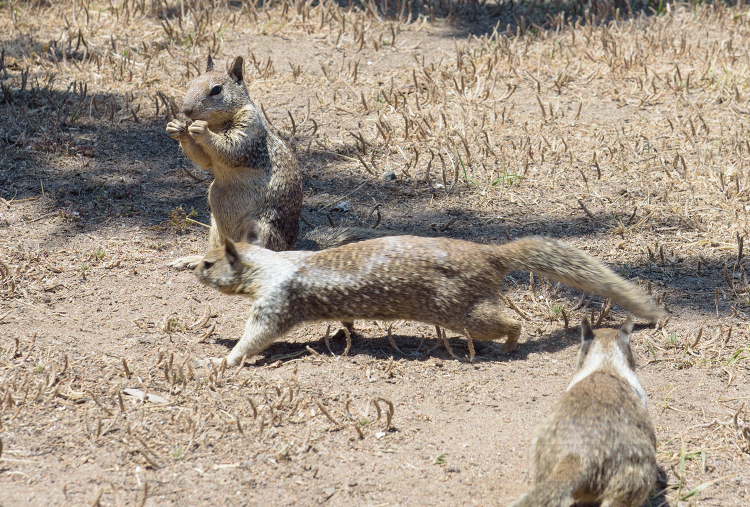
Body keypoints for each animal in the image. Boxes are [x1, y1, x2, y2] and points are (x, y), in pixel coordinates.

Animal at [192, 224, 664, 368]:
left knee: (509, 323)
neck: (271, 266)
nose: (192, 270)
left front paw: (223, 360)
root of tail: (490, 255)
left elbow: (256, 336)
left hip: (466, 313)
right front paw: (345, 336)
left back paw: (508, 346)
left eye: (209, 263)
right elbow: (344, 321)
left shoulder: (276, 304)